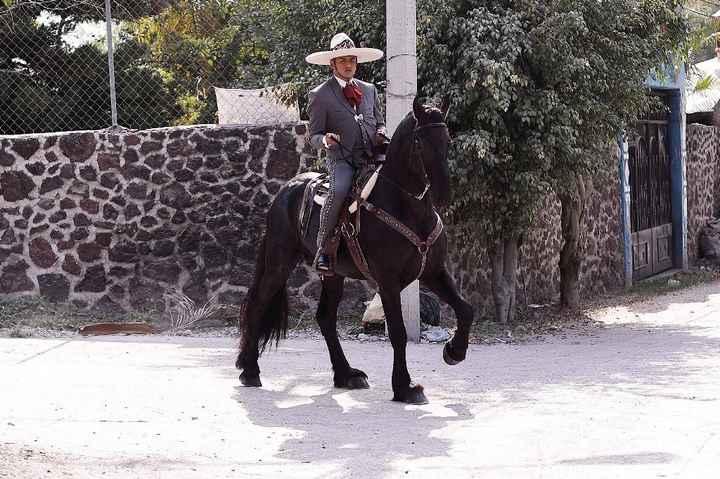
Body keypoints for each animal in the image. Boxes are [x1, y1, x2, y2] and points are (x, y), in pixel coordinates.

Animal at [235, 99, 472, 406]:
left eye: (447, 139)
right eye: (420, 141)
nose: (443, 192)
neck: (406, 206)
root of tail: (287, 189)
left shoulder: (433, 273)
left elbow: (466, 309)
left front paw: (454, 352)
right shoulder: (387, 281)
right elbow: (398, 333)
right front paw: (404, 387)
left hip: (332, 274)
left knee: (325, 318)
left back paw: (346, 374)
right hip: (279, 262)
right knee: (258, 305)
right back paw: (250, 370)